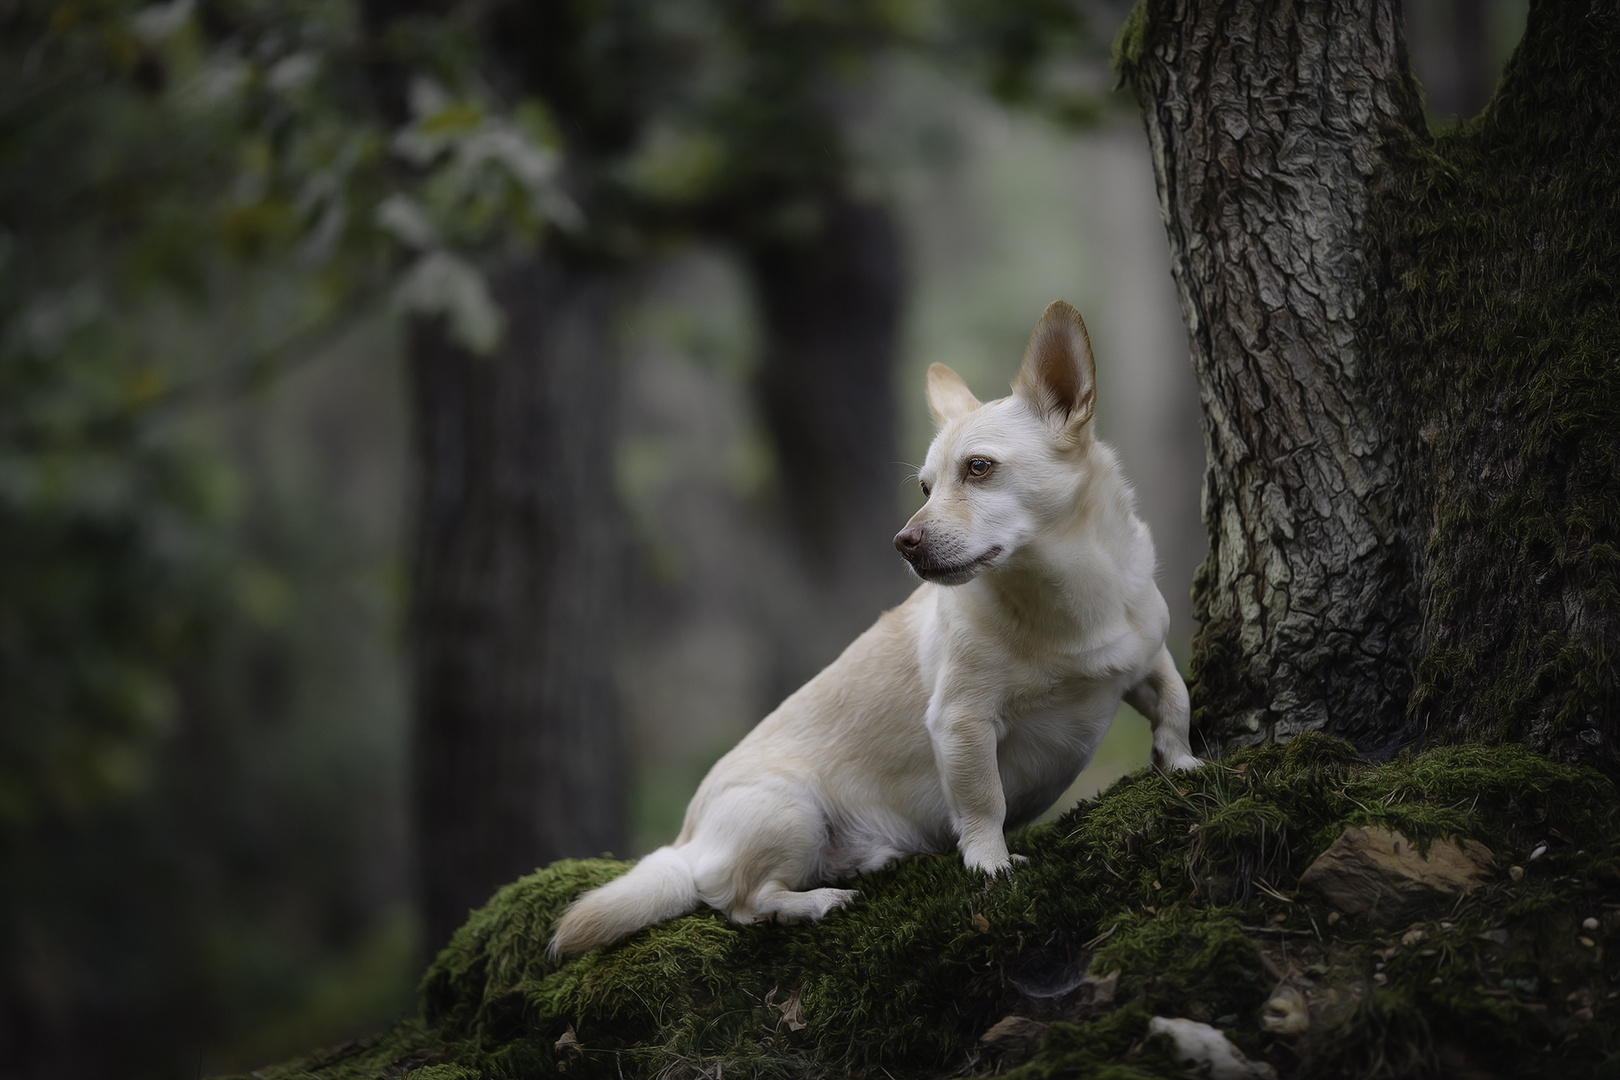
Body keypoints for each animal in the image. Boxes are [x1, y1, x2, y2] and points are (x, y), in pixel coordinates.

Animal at [550, 299, 1198, 958]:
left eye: (979, 468)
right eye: (925, 488)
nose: (903, 541)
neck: (1067, 601)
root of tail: (685, 843)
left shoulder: (1149, 660)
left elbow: (1177, 703)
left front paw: (1185, 765)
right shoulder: (962, 724)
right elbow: (983, 799)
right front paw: (990, 865)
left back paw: (867, 863)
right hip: (792, 812)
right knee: (741, 903)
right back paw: (813, 903)